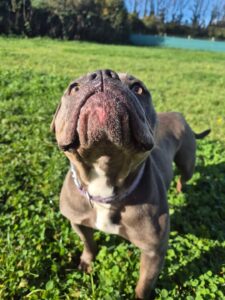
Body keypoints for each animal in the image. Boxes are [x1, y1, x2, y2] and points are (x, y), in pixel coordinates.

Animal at [50, 69, 210, 298]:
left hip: (187, 163)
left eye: (138, 88)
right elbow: (88, 243)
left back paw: (179, 192)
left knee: (183, 177)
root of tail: (178, 115)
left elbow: (143, 285)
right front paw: (87, 262)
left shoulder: (153, 252)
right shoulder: (77, 221)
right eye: (74, 87)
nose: (102, 74)